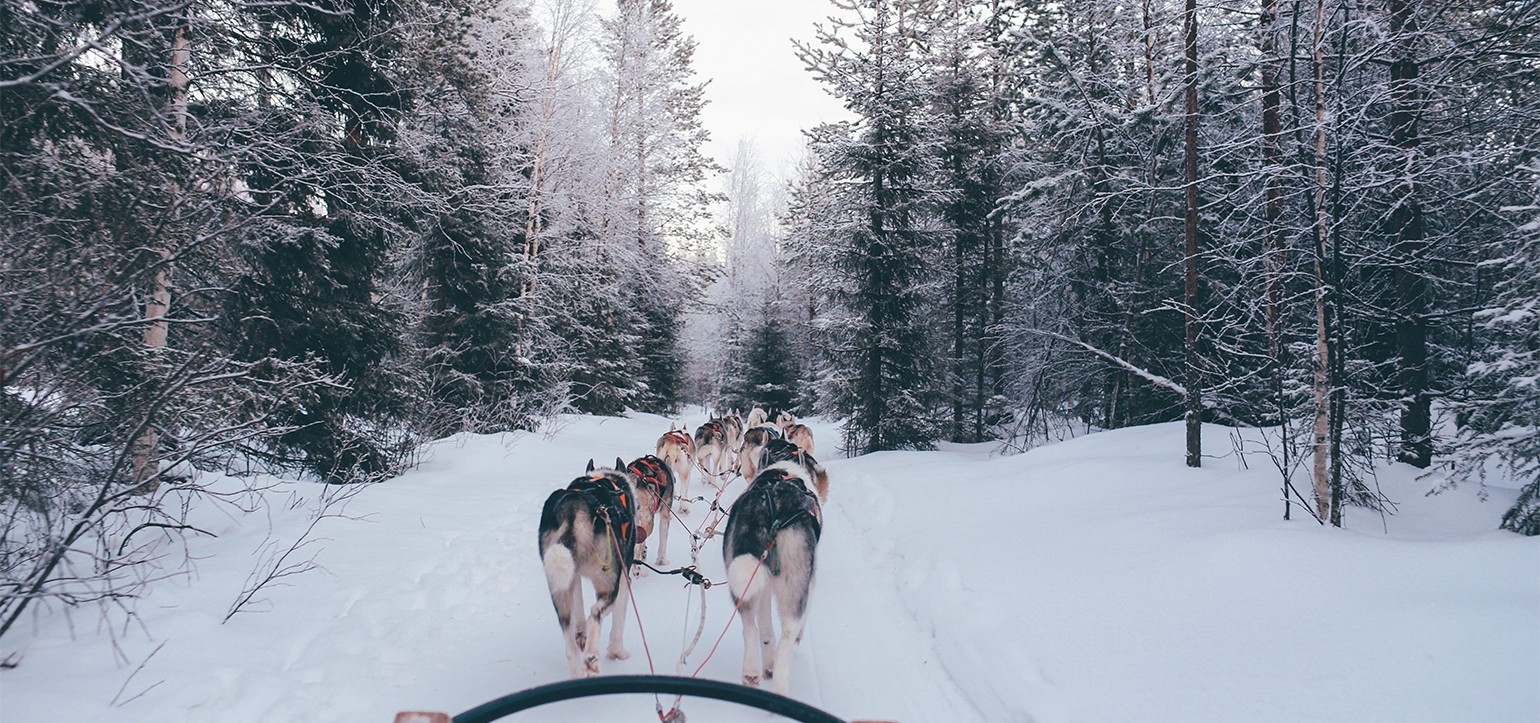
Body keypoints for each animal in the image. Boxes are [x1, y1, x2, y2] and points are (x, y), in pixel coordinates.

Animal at [542, 456, 637, 675]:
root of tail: (574, 506)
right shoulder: (623, 578)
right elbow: (617, 618)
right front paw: (617, 652)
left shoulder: (574, 576)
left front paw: (581, 634)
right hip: (608, 580)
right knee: (595, 613)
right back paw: (592, 656)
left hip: (559, 587)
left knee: (569, 643)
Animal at [720, 456, 819, 693]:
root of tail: (769, 508)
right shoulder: (810, 583)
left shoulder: (763, 586)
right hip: (795, 591)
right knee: (786, 641)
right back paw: (780, 686)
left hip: (744, 581)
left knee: (753, 628)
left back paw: (753, 671)